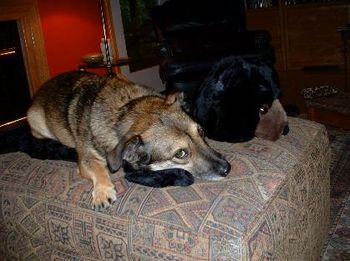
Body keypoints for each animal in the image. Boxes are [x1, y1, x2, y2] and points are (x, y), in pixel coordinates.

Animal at [26, 71, 230, 209]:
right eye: (181, 153)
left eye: (201, 132)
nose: (227, 168)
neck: (125, 109)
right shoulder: (87, 159)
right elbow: (99, 170)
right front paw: (103, 192)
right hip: (36, 121)